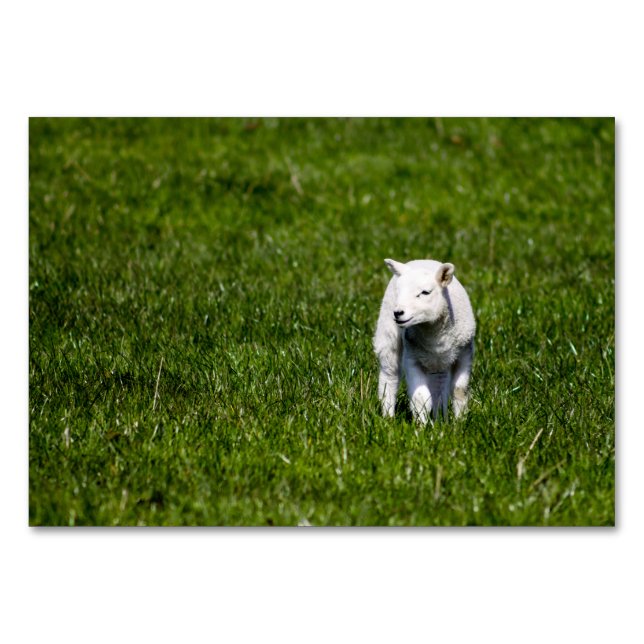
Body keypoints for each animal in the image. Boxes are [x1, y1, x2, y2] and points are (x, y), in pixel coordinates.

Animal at [373, 258, 476, 424]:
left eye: (425, 292)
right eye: (399, 292)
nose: (398, 313)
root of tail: (419, 260)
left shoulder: (465, 354)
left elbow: (459, 390)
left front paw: (460, 422)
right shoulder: (412, 358)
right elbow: (421, 397)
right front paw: (420, 425)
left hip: (438, 363)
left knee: (438, 386)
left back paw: (439, 418)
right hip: (388, 335)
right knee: (389, 376)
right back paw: (388, 417)